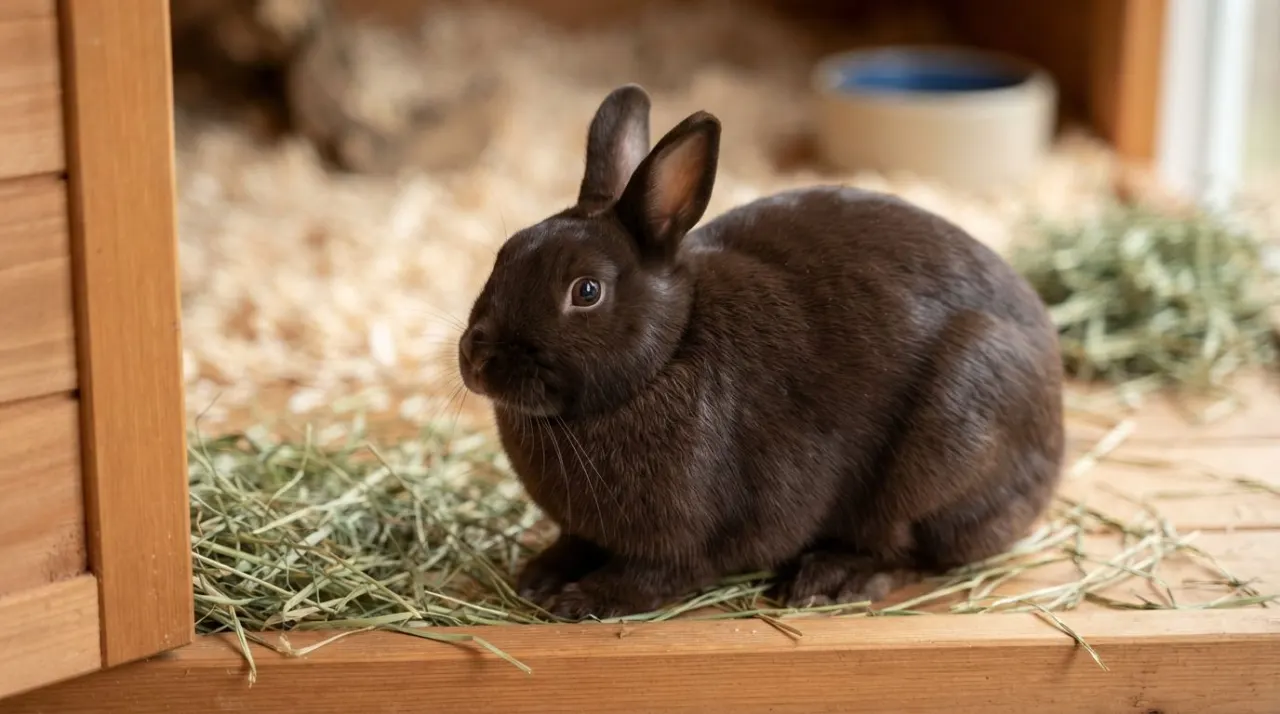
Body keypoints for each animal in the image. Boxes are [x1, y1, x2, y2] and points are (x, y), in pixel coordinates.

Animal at [456, 84, 1065, 620]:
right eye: (504, 254)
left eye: (586, 291)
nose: (478, 360)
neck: (667, 354)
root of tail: (1053, 438)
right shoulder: (584, 527)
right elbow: (573, 543)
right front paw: (539, 576)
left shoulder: (686, 537)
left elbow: (654, 575)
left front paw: (583, 600)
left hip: (949, 440)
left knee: (914, 550)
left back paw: (834, 577)